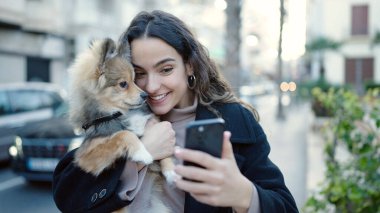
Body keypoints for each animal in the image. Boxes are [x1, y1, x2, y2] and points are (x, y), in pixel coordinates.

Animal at [68, 37, 174, 212]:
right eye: (123, 84)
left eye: (135, 80)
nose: (145, 95)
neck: (121, 114)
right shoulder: (87, 156)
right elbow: (124, 134)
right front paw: (142, 153)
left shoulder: (153, 123)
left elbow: (166, 153)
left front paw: (171, 170)